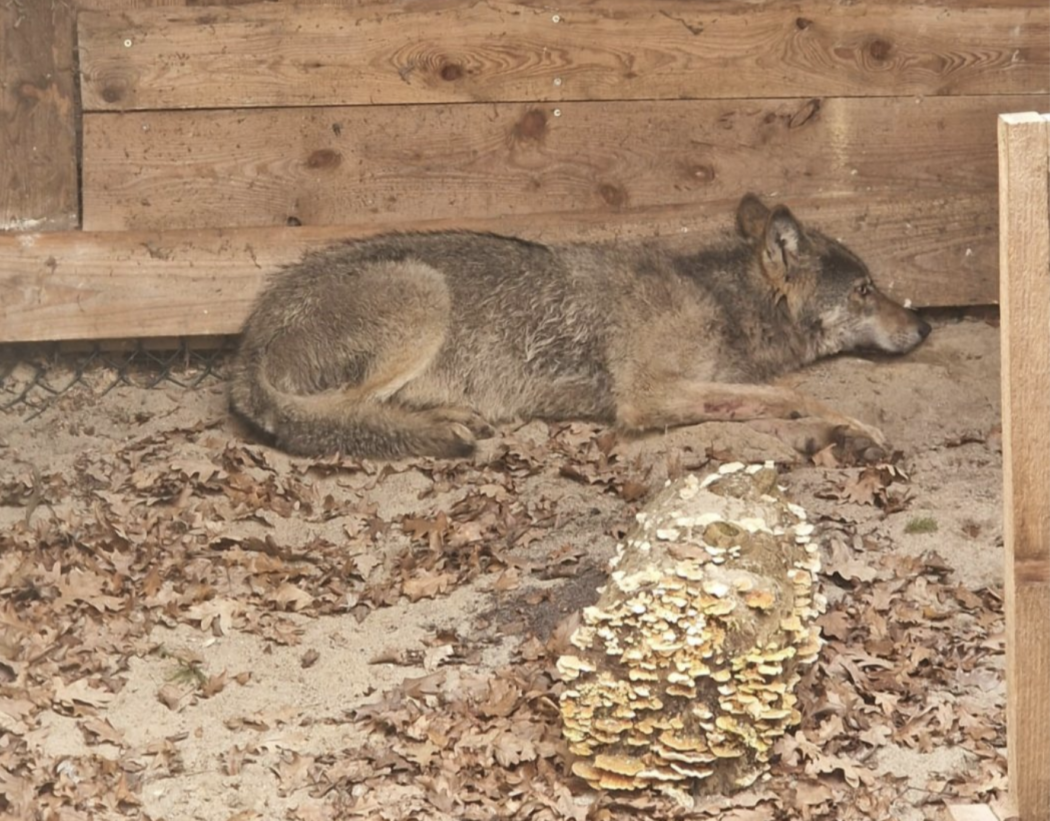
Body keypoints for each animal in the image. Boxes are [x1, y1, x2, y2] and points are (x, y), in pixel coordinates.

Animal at [229, 194, 930, 460]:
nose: (924, 325)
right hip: (424, 293)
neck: (717, 298)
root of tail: (247, 343)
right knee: (335, 416)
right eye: (866, 290)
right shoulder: (646, 397)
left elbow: (766, 402)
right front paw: (853, 428)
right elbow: (793, 395)